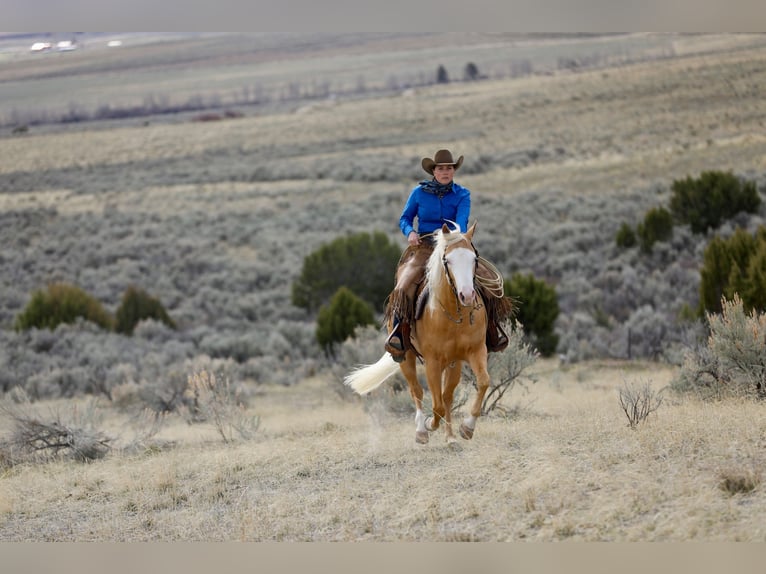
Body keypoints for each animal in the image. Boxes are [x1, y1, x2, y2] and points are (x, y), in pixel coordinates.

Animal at [344, 221, 493, 445]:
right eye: (447, 260)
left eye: (474, 259)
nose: (466, 295)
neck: (452, 315)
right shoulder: (432, 361)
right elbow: (436, 404)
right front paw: (430, 424)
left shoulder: (475, 352)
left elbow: (482, 383)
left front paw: (466, 428)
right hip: (406, 357)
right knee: (417, 391)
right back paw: (421, 430)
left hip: (453, 363)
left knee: (447, 396)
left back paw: (450, 437)